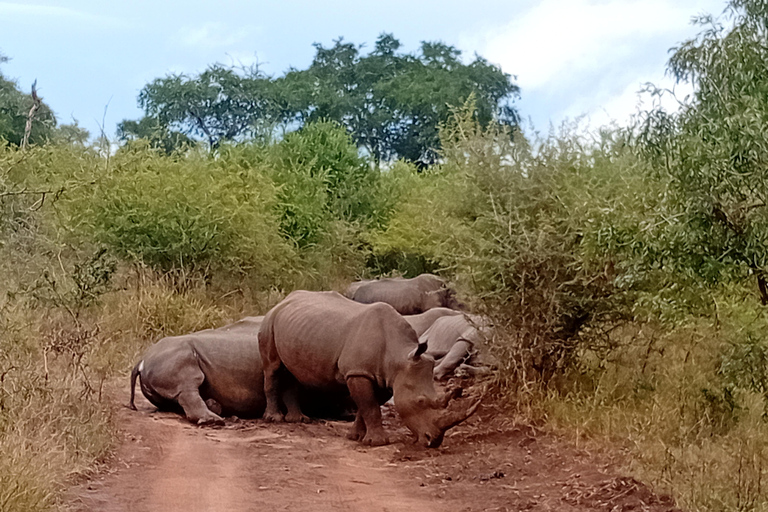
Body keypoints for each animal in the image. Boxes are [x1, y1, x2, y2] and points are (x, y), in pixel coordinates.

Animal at [259, 290, 480, 448]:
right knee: (272, 368)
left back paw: (298, 420)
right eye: (420, 401)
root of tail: (285, 299)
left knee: (291, 372)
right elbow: (370, 406)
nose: (433, 441)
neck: (400, 356)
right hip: (269, 320)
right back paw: (274, 419)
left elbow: (367, 406)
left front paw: (355, 436)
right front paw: (378, 443)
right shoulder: (358, 372)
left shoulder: (385, 377)